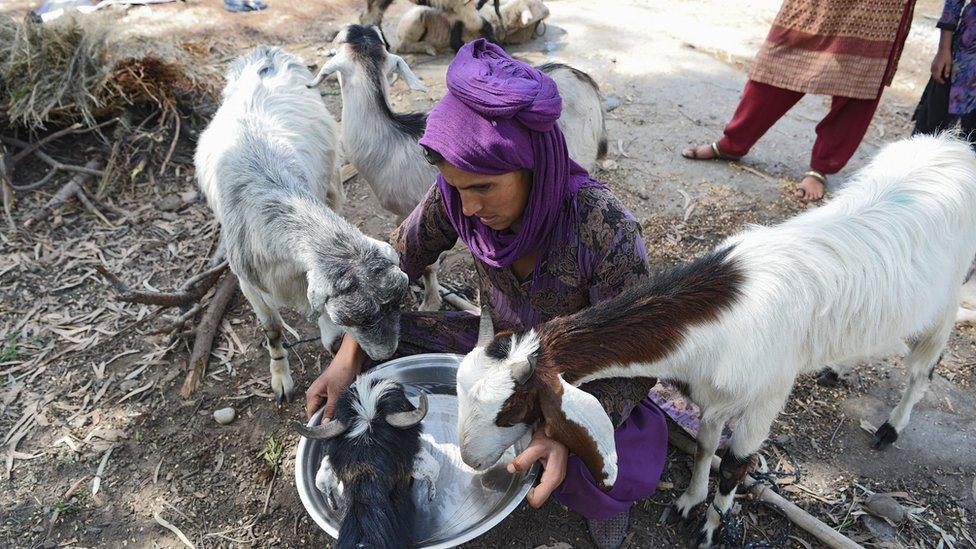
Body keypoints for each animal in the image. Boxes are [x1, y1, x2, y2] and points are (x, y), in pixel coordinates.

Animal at [196, 45, 410, 402]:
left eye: (397, 302)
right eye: (353, 317)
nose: (386, 354)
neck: (269, 192)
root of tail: (265, 52)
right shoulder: (250, 283)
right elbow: (272, 329)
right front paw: (280, 378)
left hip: (331, 182)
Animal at [454, 132, 976, 544]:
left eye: (512, 409)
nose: (469, 459)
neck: (727, 304)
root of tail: (955, 146)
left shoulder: (766, 395)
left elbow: (735, 464)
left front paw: (710, 528)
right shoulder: (714, 391)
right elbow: (706, 446)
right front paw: (690, 500)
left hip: (946, 299)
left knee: (924, 366)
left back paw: (892, 425)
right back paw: (836, 367)